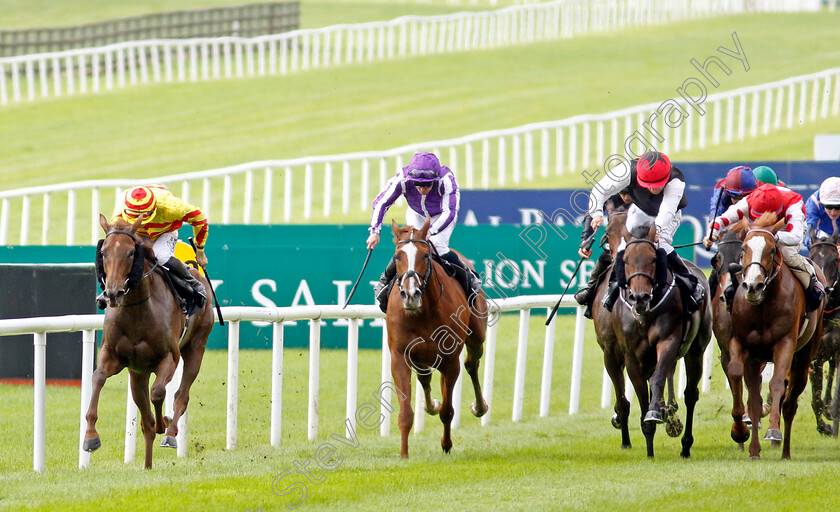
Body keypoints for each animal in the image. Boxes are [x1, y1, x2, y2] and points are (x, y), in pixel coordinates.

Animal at [83, 214, 213, 470]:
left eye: (131, 252)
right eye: (103, 252)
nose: (113, 293)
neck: (137, 311)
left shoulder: (169, 357)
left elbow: (159, 393)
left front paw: (165, 423)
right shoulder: (113, 355)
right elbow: (98, 378)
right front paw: (91, 437)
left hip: (197, 346)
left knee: (181, 394)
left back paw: (170, 432)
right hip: (138, 372)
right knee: (144, 412)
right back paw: (148, 462)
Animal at [388, 218, 492, 458]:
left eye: (426, 256)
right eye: (397, 257)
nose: (410, 294)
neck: (422, 312)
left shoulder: (450, 359)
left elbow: (448, 410)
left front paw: (446, 445)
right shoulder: (399, 356)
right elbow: (406, 413)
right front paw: (404, 454)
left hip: (476, 337)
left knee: (472, 363)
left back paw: (479, 406)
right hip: (421, 356)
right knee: (425, 376)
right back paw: (430, 405)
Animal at [592, 218, 716, 458]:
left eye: (652, 259)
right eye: (626, 260)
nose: (639, 297)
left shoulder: (668, 342)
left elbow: (658, 379)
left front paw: (656, 415)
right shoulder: (627, 355)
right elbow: (638, 392)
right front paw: (648, 439)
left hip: (696, 350)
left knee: (690, 394)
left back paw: (685, 443)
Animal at [728, 212, 828, 460]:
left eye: (772, 250)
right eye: (743, 248)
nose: (752, 286)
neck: (762, 306)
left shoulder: (785, 343)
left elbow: (776, 384)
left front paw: (773, 429)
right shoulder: (742, 343)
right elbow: (735, 374)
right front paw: (739, 430)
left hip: (804, 355)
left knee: (790, 403)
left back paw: (785, 452)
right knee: (755, 400)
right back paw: (754, 451)